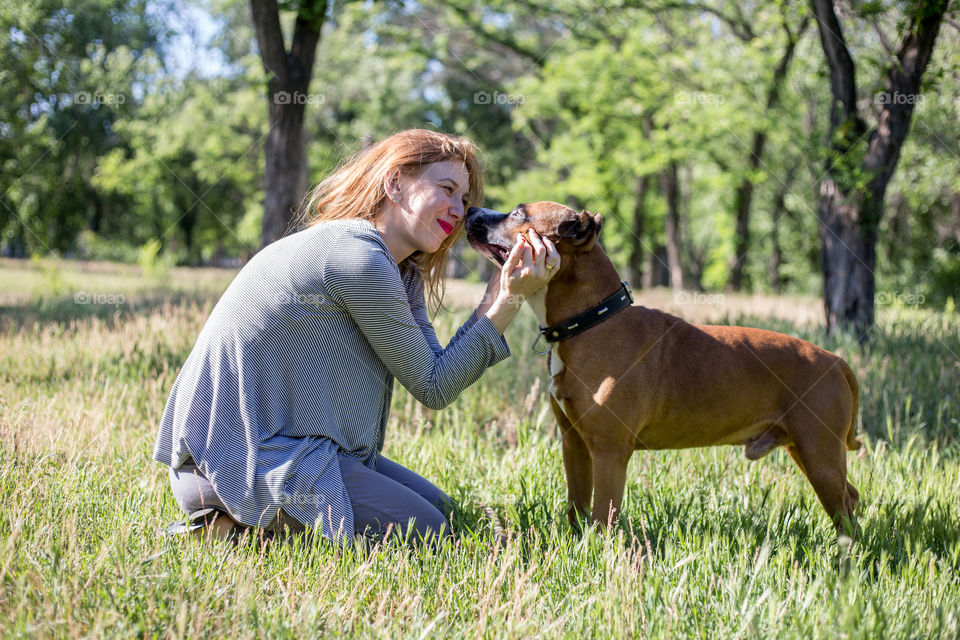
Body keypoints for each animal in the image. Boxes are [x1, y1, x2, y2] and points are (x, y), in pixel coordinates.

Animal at [464, 202, 864, 532]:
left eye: (518, 213)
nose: (471, 210)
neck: (592, 320)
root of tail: (836, 361)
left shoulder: (609, 452)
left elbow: (603, 515)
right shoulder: (573, 443)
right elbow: (577, 507)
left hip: (820, 456)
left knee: (845, 504)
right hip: (808, 451)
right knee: (851, 498)